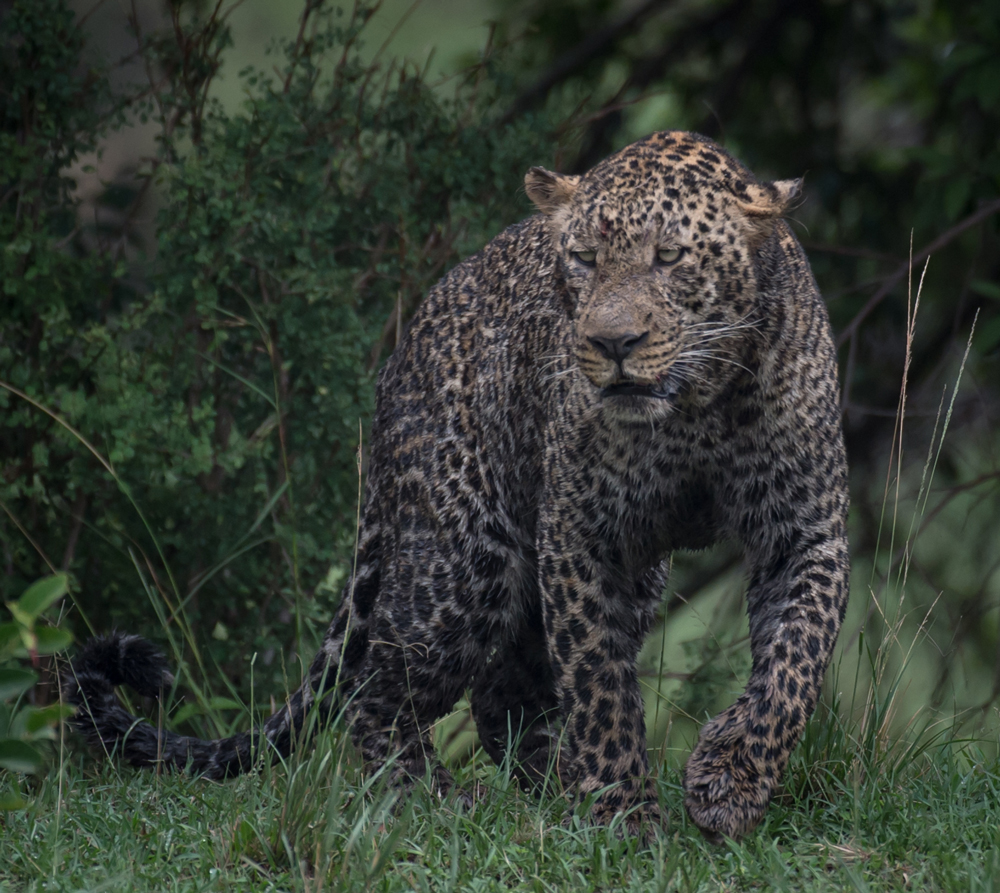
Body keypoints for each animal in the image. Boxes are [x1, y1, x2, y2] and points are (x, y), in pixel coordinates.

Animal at [62, 129, 848, 840]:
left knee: (504, 693)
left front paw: (729, 782)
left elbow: (795, 665)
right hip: (466, 559)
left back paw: (548, 791)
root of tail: (397, 362)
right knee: (377, 691)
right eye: (584, 260)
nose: (611, 343)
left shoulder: (805, 531)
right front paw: (625, 815)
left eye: (670, 257)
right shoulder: (580, 535)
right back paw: (438, 798)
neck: (694, 409)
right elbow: (599, 682)